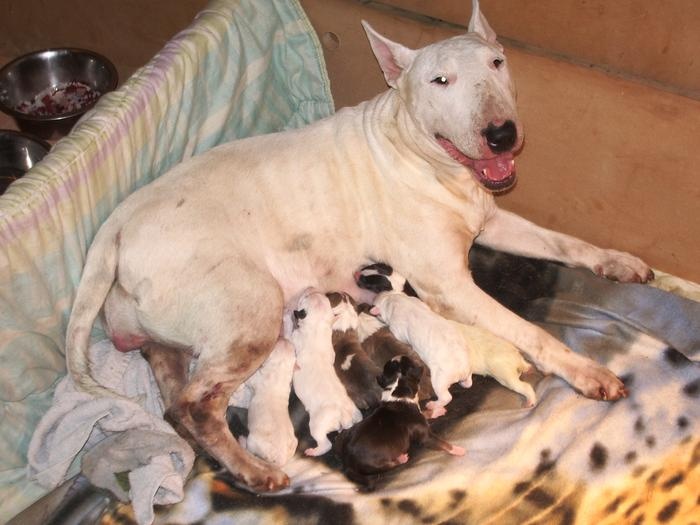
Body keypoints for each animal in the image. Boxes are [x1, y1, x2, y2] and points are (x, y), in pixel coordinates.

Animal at [228, 334, 296, 464]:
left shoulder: (257, 379)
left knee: (249, 449)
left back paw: (242, 441)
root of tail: (280, 459)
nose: (281, 337)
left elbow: (250, 379)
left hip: (253, 442)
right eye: (294, 349)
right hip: (294, 443)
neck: (280, 369)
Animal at [290, 286, 364, 454]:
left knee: (326, 444)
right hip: (356, 412)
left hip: (317, 425)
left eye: (305, 297)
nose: (310, 287)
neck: (317, 327)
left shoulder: (295, 337)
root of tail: (345, 415)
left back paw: (313, 451)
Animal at [330, 354, 462, 490]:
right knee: (392, 465)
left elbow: (425, 413)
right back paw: (402, 458)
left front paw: (437, 411)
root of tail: (347, 464)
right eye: (411, 362)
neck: (397, 390)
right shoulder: (426, 437)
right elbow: (443, 444)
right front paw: (459, 450)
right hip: (378, 464)